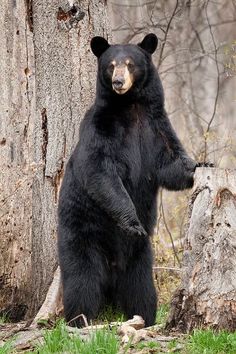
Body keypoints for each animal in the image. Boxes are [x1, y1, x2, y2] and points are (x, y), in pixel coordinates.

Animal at [58, 34, 200, 328]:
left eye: (130, 64)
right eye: (111, 65)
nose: (118, 82)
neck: (131, 107)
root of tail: (113, 265)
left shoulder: (156, 127)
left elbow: (170, 162)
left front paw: (200, 165)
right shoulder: (100, 128)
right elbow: (100, 171)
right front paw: (132, 222)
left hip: (140, 256)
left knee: (141, 287)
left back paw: (144, 317)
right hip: (81, 230)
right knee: (82, 278)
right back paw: (79, 320)